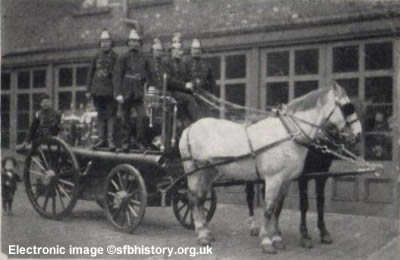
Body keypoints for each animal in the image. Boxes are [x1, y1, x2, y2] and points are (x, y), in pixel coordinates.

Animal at [178, 85, 362, 254]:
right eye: (347, 107)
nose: (358, 135)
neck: (288, 134)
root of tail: (189, 128)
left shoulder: (286, 180)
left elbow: (277, 208)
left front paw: (277, 238)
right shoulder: (274, 179)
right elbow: (268, 209)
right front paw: (266, 241)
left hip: (209, 171)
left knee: (201, 199)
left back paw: (206, 232)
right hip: (194, 170)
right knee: (193, 199)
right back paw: (202, 235)